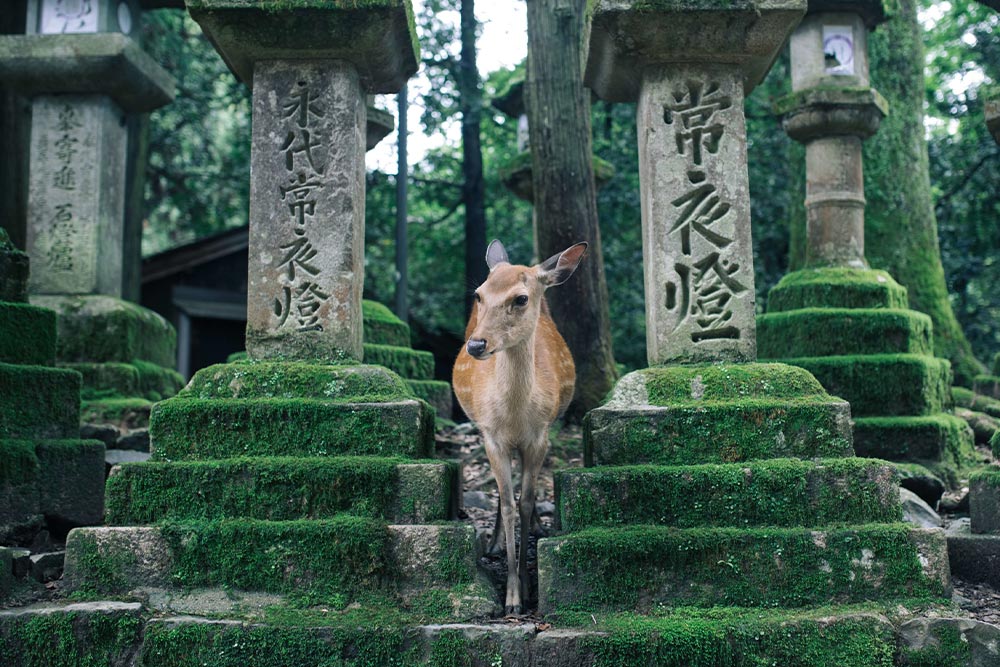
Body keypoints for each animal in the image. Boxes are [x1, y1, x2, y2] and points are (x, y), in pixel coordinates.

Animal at [454, 239, 584, 616]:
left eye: (521, 298)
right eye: (479, 295)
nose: (476, 345)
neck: (513, 416)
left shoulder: (539, 436)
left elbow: (525, 502)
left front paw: (526, 590)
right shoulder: (491, 436)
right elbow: (510, 503)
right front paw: (510, 598)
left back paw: (538, 528)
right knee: (501, 493)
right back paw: (495, 543)